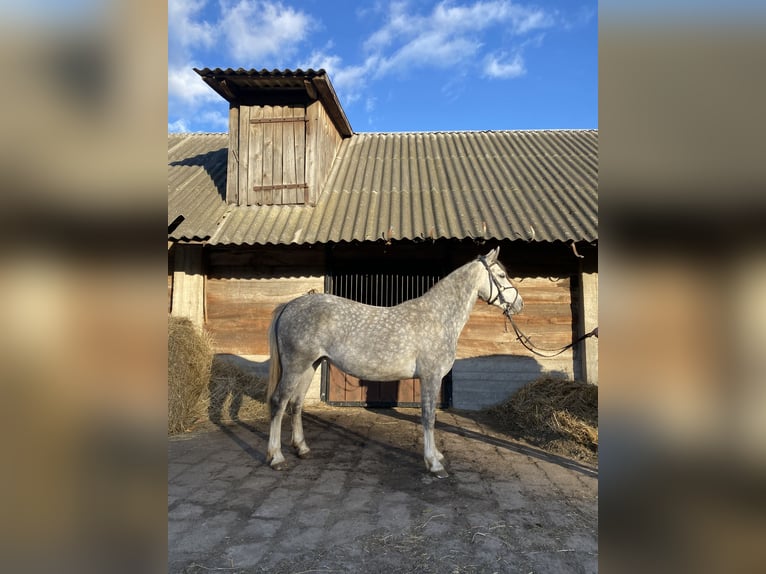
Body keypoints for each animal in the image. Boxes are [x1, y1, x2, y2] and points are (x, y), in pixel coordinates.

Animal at [268, 250, 524, 480]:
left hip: (310, 365)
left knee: (296, 404)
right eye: (501, 275)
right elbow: (429, 417)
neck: (437, 317)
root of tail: (289, 306)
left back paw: (302, 449)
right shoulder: (430, 377)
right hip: (295, 366)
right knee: (279, 402)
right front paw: (434, 464)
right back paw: (277, 457)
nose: (519, 304)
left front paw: (436, 456)